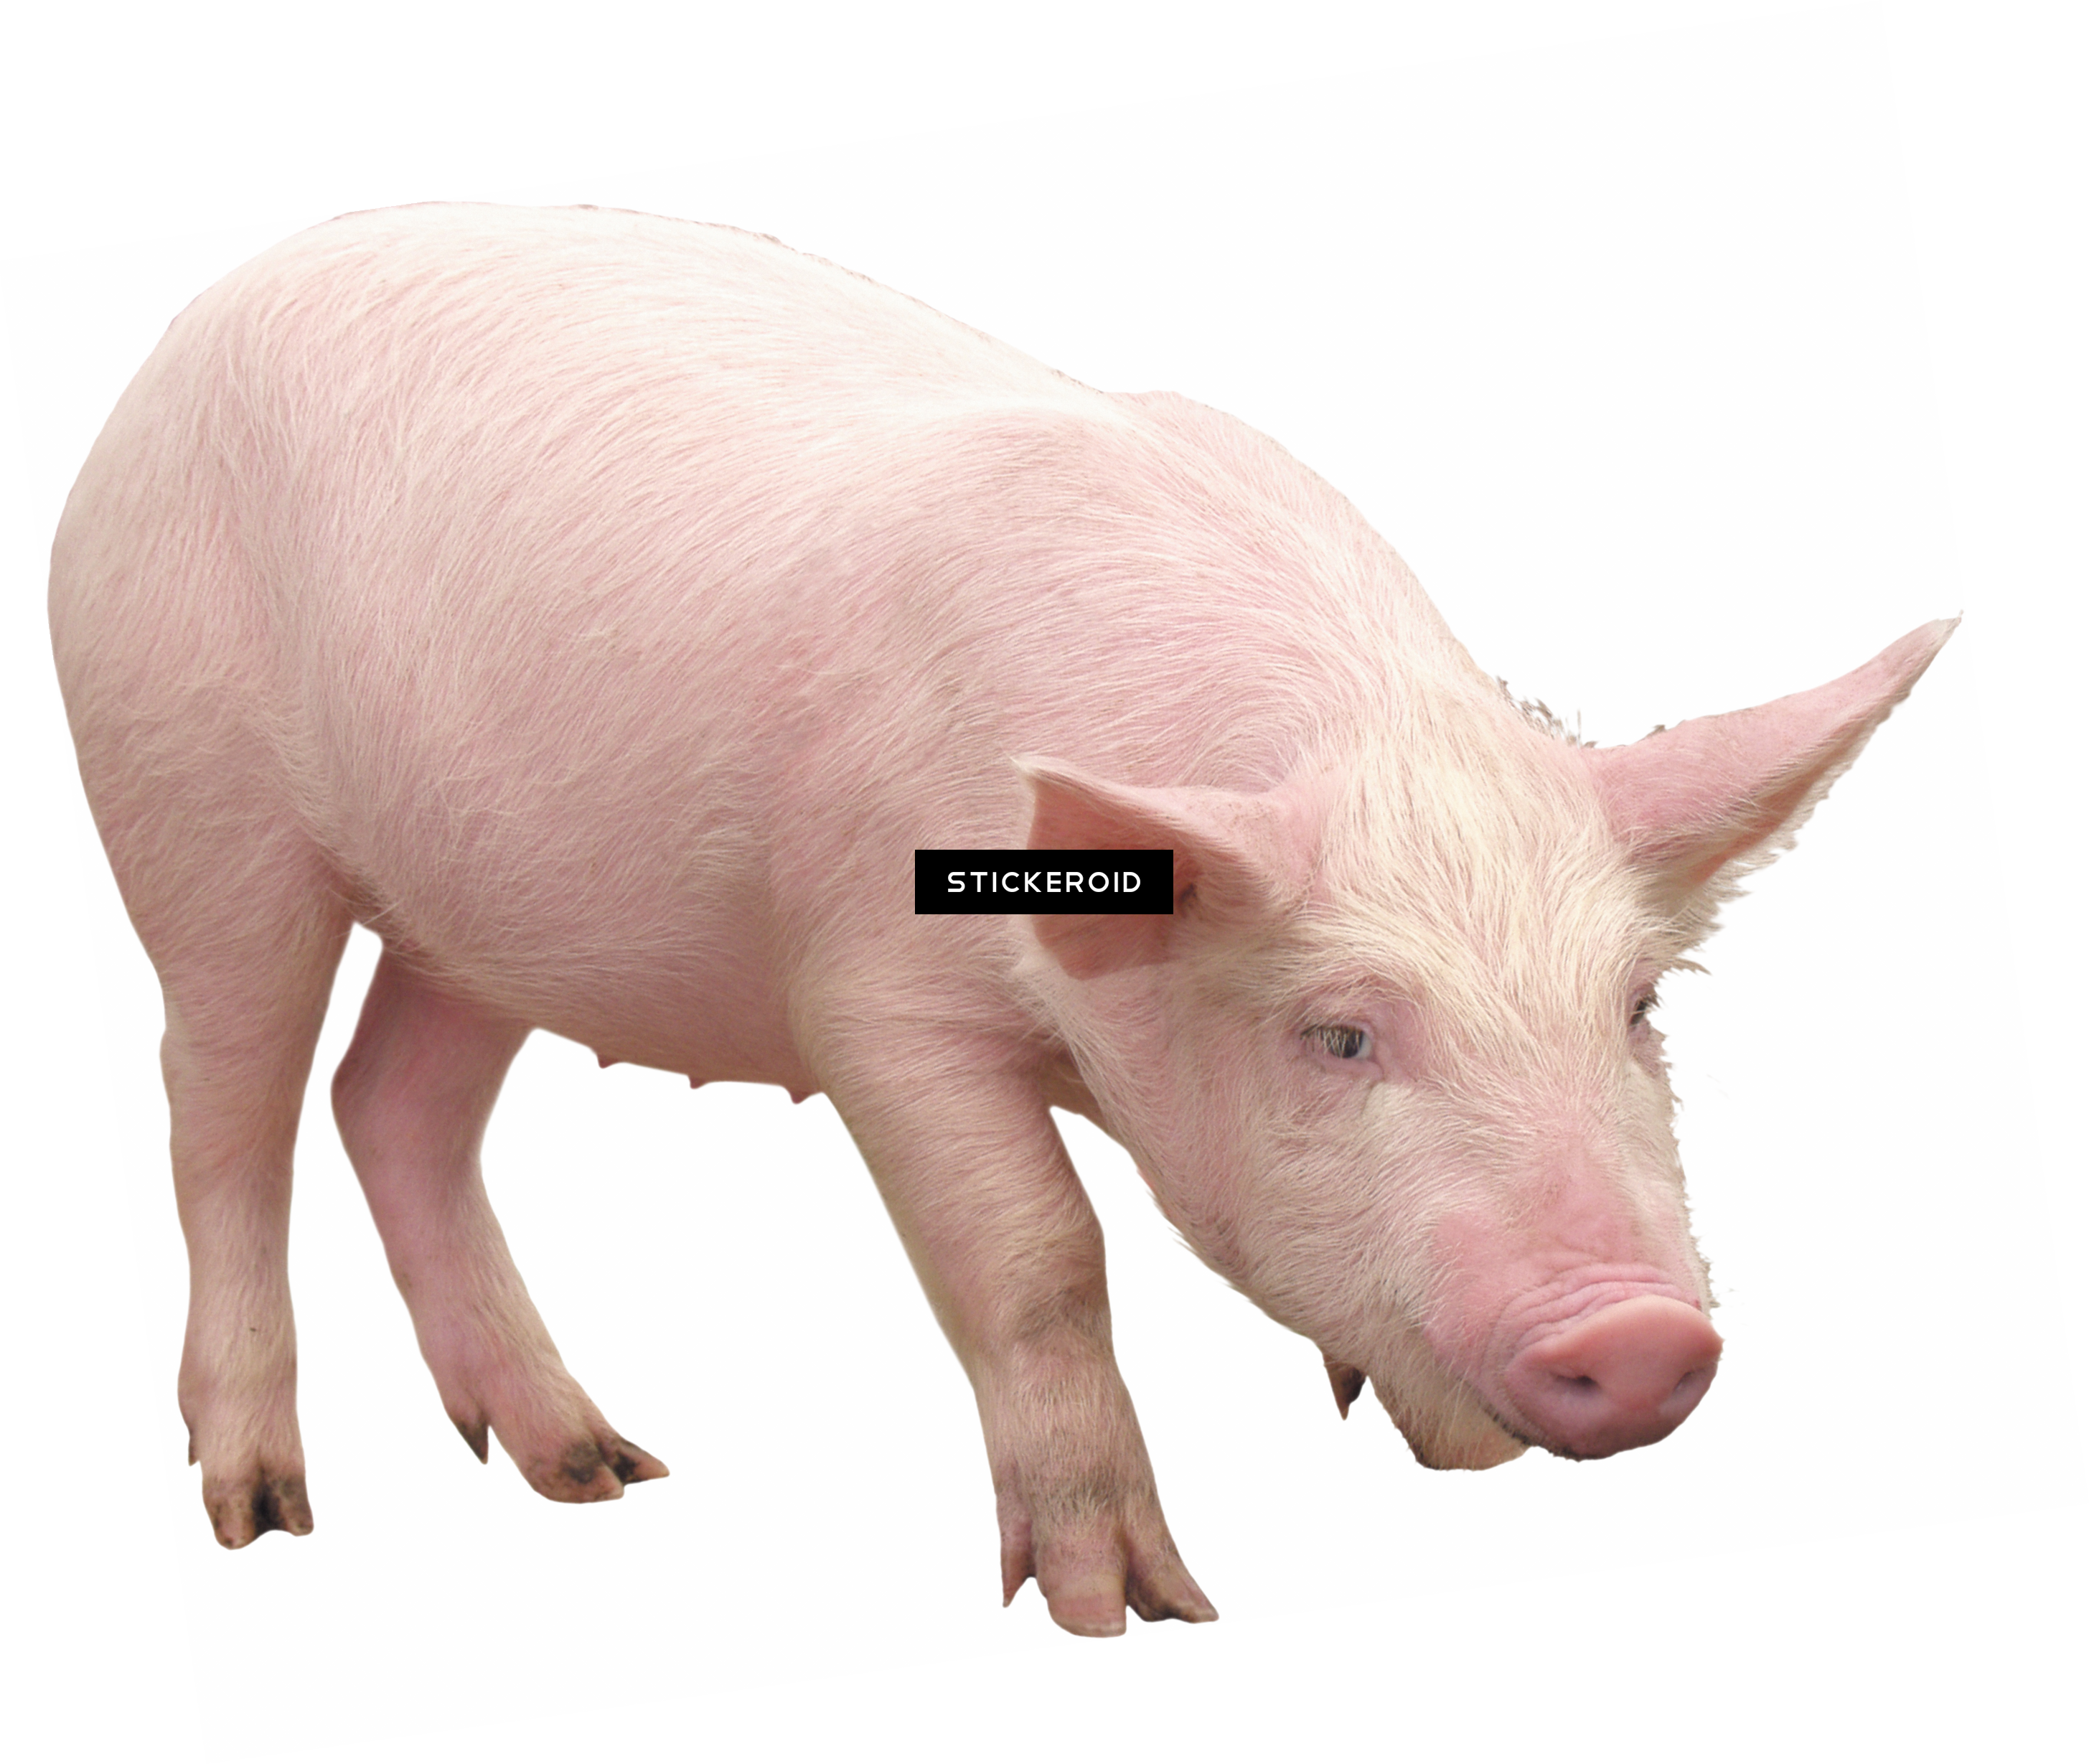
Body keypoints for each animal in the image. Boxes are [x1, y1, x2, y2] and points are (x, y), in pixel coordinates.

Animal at [47, 201, 1958, 1639]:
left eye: (1635, 1010)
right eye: (1337, 1032)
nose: (1636, 1338)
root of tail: (169, 351)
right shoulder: (870, 988)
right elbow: (1039, 1252)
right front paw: (1135, 1604)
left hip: (487, 897)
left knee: (395, 1104)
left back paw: (596, 1468)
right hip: (193, 795)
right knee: (222, 1102)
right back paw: (266, 1513)